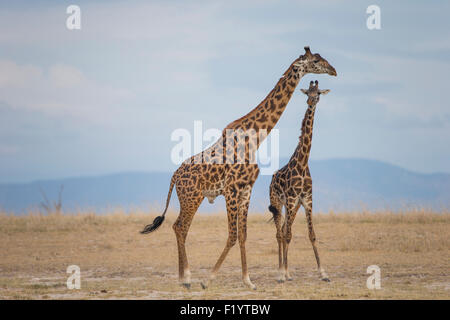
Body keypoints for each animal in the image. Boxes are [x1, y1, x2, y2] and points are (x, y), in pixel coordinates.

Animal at [268, 79, 330, 282]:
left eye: (318, 93)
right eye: (307, 93)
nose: (311, 102)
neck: (303, 164)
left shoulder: (307, 199)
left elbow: (312, 235)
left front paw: (323, 273)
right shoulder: (291, 199)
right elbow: (287, 235)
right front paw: (282, 274)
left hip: (293, 207)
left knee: (285, 228)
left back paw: (287, 271)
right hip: (278, 203)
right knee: (280, 233)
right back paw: (281, 271)